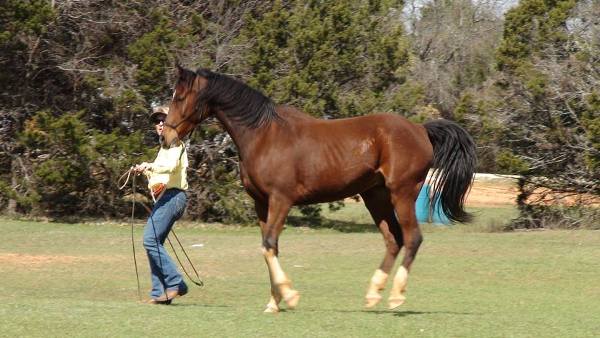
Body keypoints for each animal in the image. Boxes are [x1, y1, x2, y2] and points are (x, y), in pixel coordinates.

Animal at [161, 64, 478, 312]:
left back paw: (396, 296)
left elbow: (269, 245)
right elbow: (269, 247)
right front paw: (274, 301)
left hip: (402, 193)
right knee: (394, 240)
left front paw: (289, 295)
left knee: (412, 238)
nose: (166, 136)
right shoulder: (261, 203)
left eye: (180, 96)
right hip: (375, 196)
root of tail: (420, 129)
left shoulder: (281, 200)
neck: (263, 135)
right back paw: (373, 294)